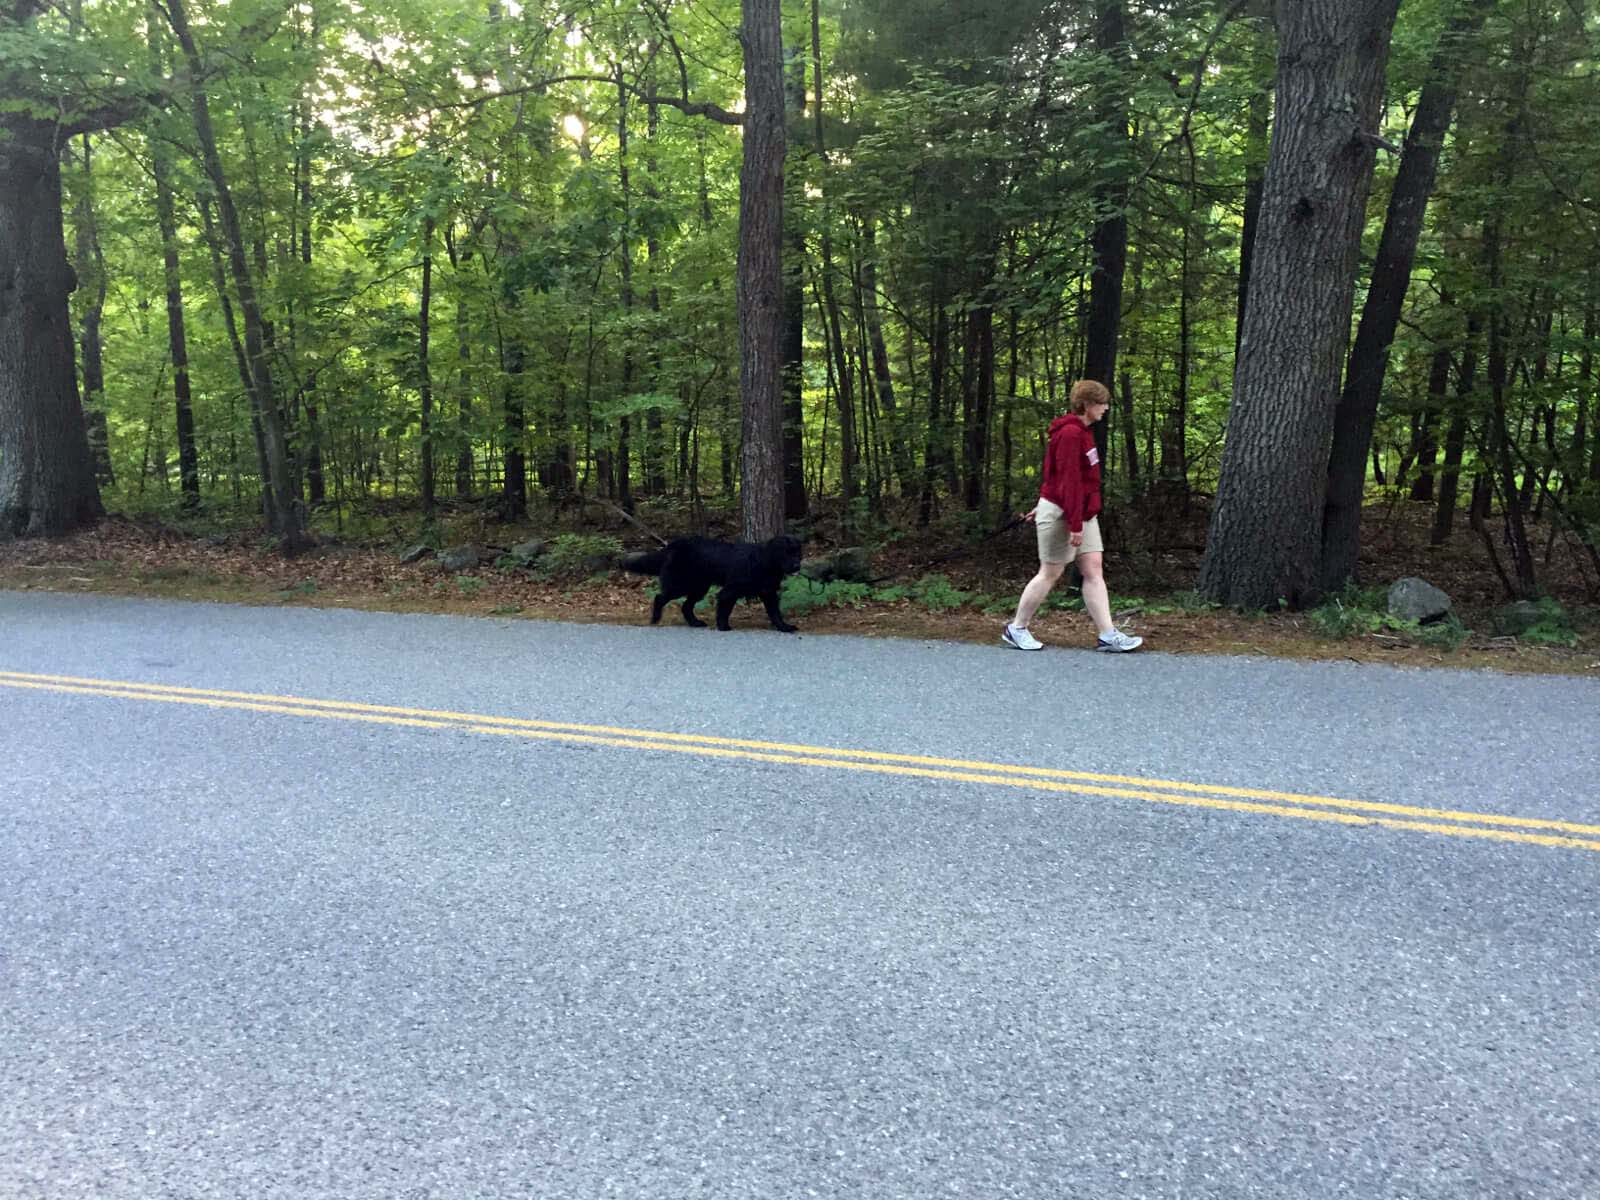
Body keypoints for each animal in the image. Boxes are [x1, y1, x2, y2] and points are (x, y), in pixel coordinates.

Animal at [620, 534, 806, 633]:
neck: (764, 562)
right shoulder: (731, 590)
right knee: (660, 597)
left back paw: (695, 623)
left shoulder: (768, 592)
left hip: (699, 587)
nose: (797, 566)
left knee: (686, 606)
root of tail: (673, 545)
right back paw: (655, 618)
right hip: (680, 585)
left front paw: (784, 627)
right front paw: (723, 626)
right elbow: (724, 609)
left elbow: (775, 613)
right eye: (786, 553)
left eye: (797, 553)